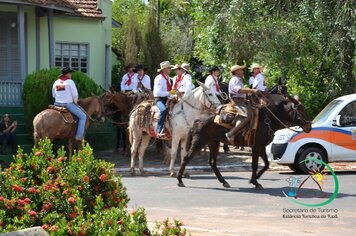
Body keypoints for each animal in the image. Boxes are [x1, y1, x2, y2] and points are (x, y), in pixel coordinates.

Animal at [177, 93, 312, 189]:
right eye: (301, 110)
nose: (309, 127)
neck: (268, 119)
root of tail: (197, 119)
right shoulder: (256, 147)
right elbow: (255, 165)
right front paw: (255, 182)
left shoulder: (260, 146)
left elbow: (266, 164)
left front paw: (254, 179)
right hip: (198, 143)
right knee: (186, 158)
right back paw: (179, 180)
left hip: (213, 143)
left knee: (212, 162)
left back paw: (224, 182)